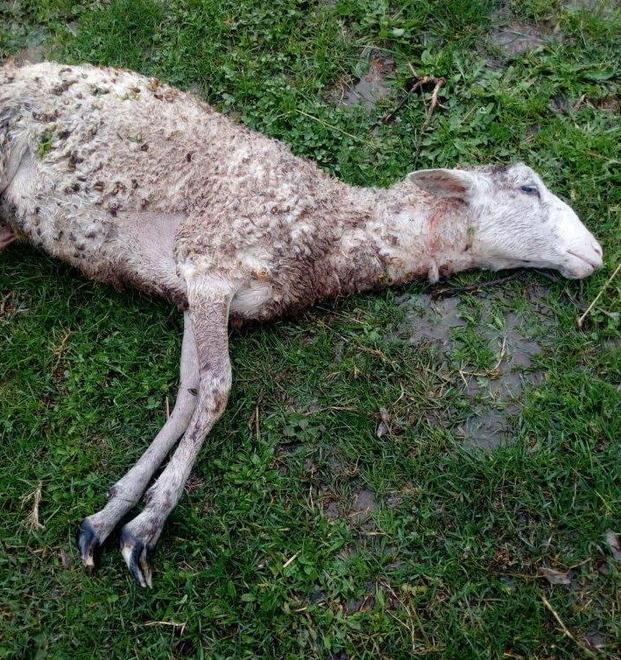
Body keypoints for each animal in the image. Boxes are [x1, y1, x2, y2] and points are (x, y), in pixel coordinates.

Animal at [0, 61, 603, 587]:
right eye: (528, 188)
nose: (596, 251)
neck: (325, 234)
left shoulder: (200, 298)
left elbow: (188, 393)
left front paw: (112, 515)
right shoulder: (211, 264)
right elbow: (217, 389)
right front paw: (145, 527)